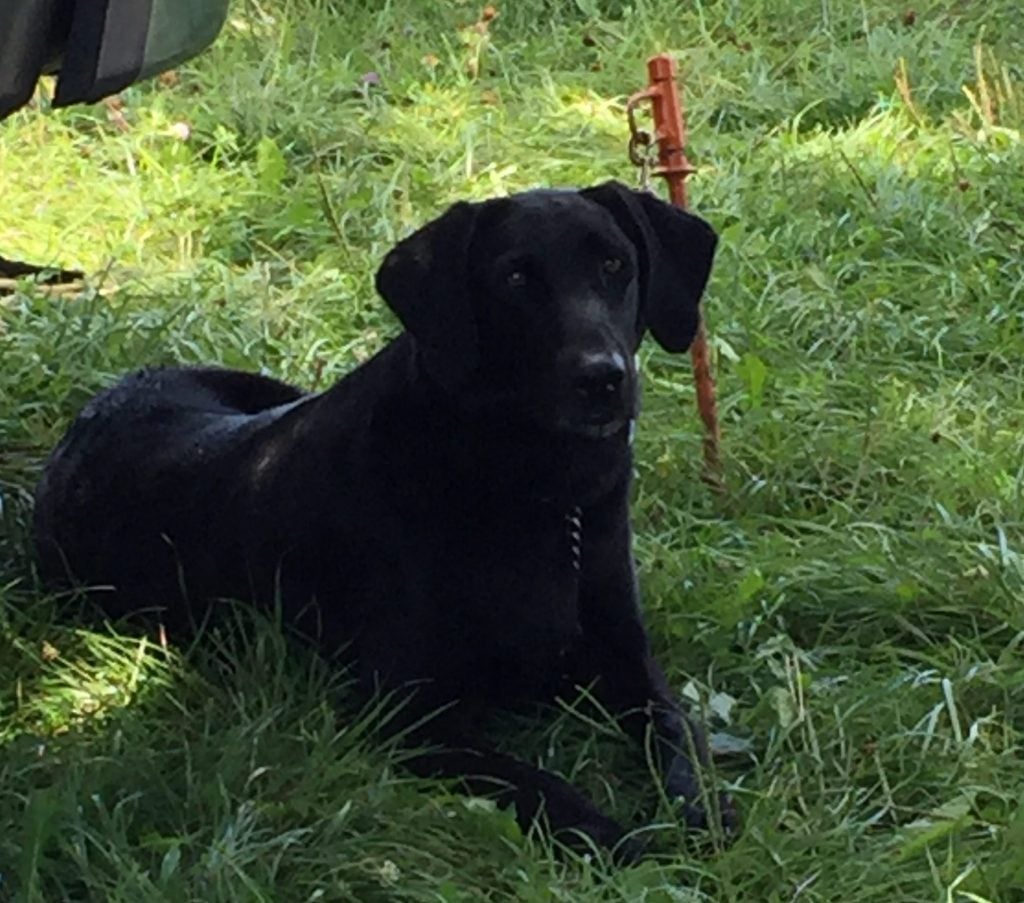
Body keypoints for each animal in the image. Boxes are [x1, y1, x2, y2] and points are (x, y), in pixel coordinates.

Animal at [34, 178, 737, 860]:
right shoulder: (408, 714)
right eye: (515, 278)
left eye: (615, 264)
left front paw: (702, 813)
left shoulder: (632, 665)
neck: (534, 489)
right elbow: (536, 783)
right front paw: (622, 843)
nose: (602, 379)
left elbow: (680, 738)